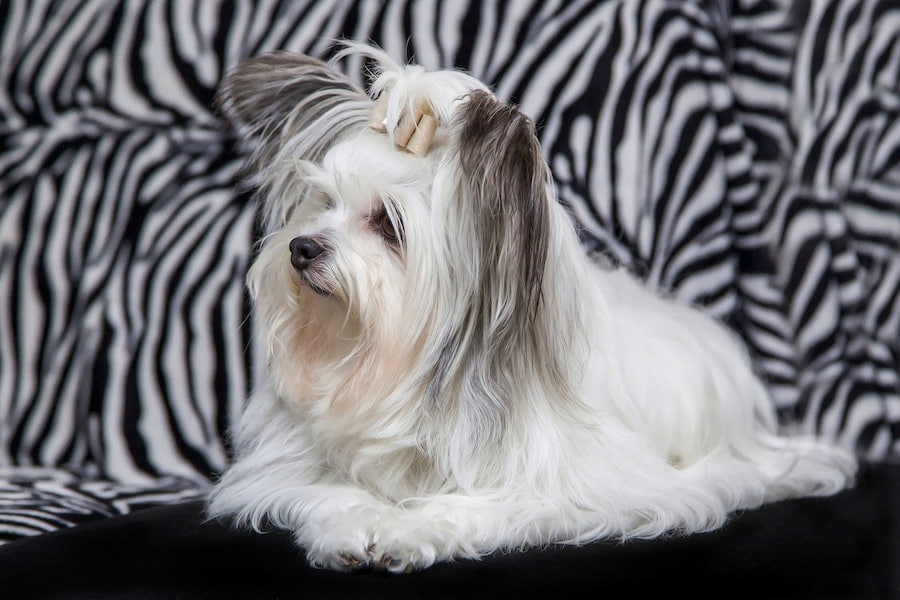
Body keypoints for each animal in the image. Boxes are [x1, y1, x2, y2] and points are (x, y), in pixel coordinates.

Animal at [209, 44, 856, 576]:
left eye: (388, 224)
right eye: (323, 202)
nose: (300, 248)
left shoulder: (577, 488)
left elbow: (470, 506)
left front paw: (402, 529)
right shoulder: (289, 471)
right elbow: (326, 491)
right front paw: (350, 526)